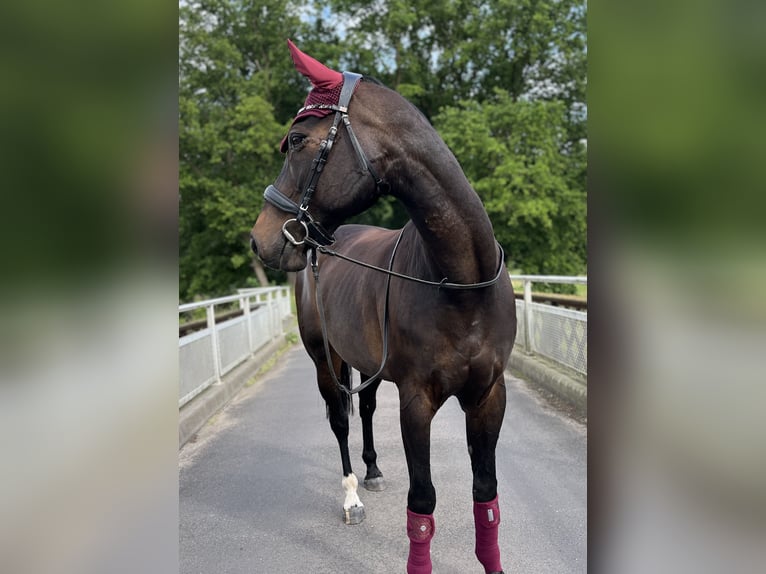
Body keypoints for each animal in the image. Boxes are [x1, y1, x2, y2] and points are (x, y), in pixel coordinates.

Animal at [250, 40, 516, 574]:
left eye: (297, 140)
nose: (260, 238)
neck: (463, 283)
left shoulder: (488, 396)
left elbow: (486, 495)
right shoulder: (417, 401)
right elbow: (423, 501)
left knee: (368, 407)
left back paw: (372, 470)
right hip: (324, 358)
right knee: (339, 419)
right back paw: (353, 495)